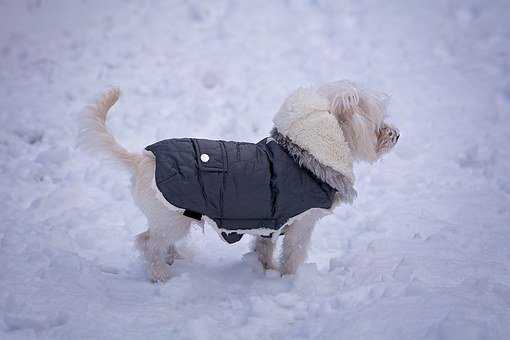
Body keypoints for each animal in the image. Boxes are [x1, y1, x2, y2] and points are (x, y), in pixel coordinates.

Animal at [78, 80, 398, 282]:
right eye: (376, 125)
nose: (396, 134)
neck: (304, 156)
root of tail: (143, 159)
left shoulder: (269, 224)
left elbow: (264, 249)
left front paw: (266, 270)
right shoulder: (301, 225)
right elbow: (293, 255)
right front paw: (288, 281)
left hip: (171, 220)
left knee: (159, 243)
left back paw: (176, 259)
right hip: (172, 219)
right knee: (147, 243)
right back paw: (160, 275)